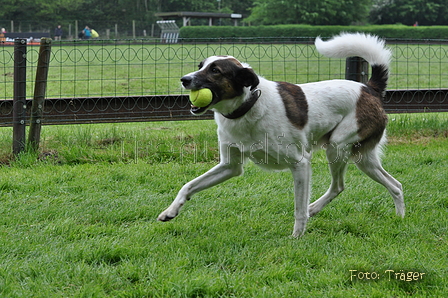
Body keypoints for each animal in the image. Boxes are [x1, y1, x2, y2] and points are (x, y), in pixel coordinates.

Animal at [158, 33, 406, 237]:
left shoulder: (300, 164)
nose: (184, 79)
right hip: (363, 158)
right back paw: (398, 219)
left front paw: (297, 237)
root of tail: (370, 89)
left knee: (341, 186)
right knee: (393, 185)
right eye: (201, 66)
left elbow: (298, 209)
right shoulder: (230, 166)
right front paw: (170, 211)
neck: (246, 107)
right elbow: (188, 185)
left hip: (338, 147)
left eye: (215, 71)